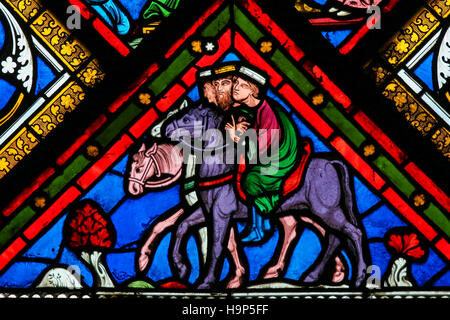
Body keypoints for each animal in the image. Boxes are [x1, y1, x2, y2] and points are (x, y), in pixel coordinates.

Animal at [163, 104, 368, 288]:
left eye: (187, 119)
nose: (166, 128)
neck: (221, 164)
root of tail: (331, 162)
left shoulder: (221, 213)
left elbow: (217, 246)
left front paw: (206, 282)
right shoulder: (207, 209)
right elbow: (182, 225)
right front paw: (181, 267)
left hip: (325, 211)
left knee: (353, 233)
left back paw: (358, 278)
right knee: (332, 237)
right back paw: (310, 276)